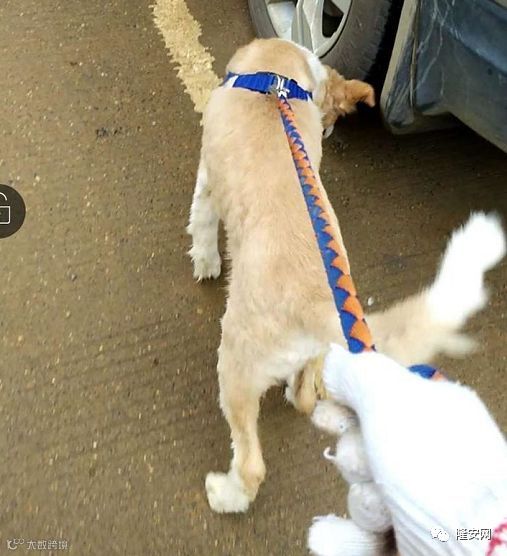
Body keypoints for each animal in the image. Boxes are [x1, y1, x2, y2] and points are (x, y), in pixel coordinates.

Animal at [187, 38, 484, 513]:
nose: (327, 131)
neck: (278, 79)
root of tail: (317, 306)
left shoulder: (207, 175)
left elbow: (201, 220)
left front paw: (205, 261)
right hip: (306, 354)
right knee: (304, 395)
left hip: (236, 364)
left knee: (250, 460)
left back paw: (226, 494)